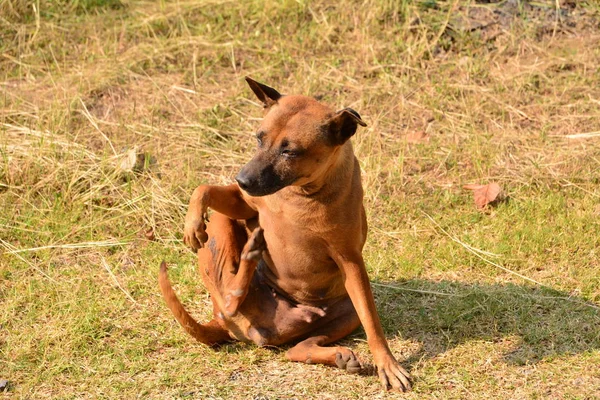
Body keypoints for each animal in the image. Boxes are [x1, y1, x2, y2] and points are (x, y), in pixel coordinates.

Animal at [159, 77, 412, 390]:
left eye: (289, 151)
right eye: (259, 138)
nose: (242, 179)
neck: (299, 195)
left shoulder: (351, 262)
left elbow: (373, 324)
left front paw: (387, 363)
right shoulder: (244, 203)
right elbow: (202, 188)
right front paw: (192, 223)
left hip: (346, 312)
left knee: (293, 345)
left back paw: (337, 355)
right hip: (220, 227)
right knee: (229, 295)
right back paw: (249, 252)